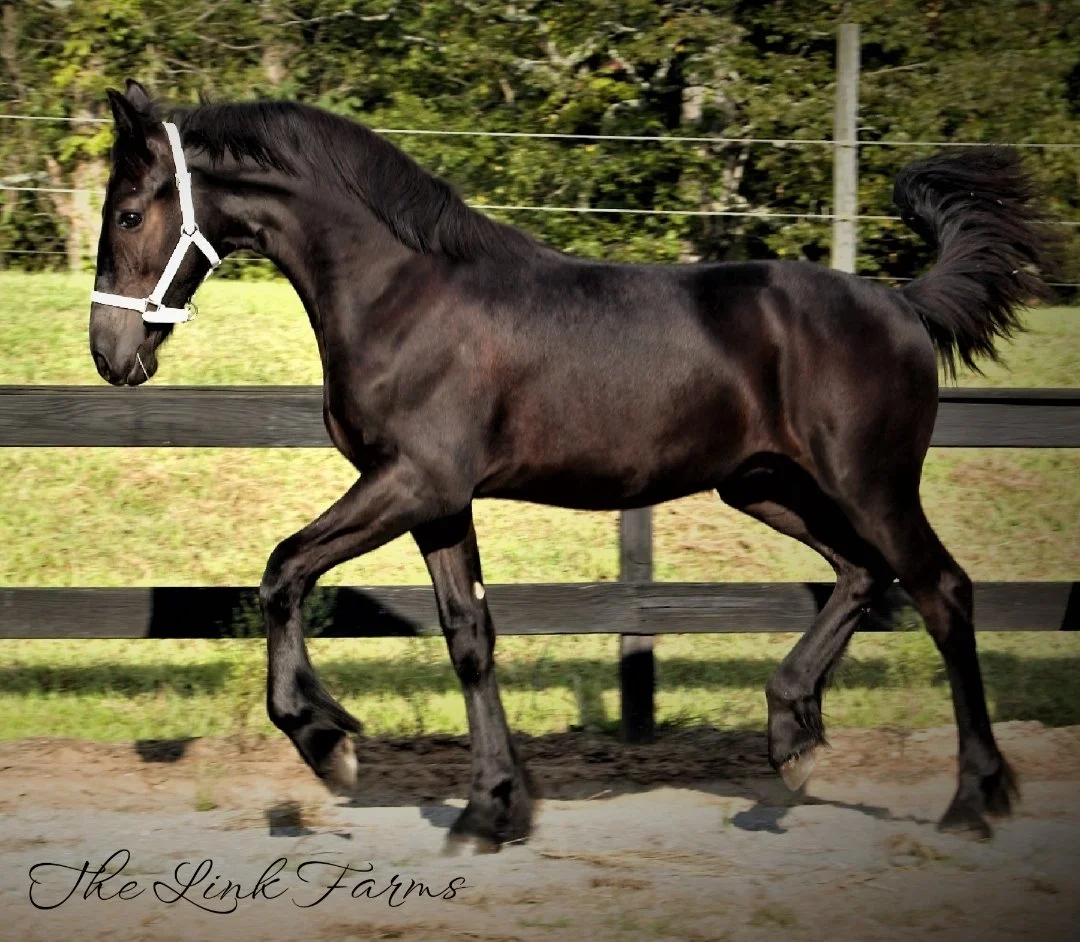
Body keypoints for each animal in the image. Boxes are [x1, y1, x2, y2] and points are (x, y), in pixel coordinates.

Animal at [88, 79, 1050, 847]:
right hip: (767, 485)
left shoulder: (411, 482)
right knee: (859, 575)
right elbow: (469, 640)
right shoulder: (441, 502)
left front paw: (329, 744)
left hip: (870, 483)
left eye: (129, 213)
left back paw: (975, 797)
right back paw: (790, 738)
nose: (109, 353)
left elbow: (284, 569)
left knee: (940, 591)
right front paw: (490, 809)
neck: (399, 293)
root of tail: (902, 304)